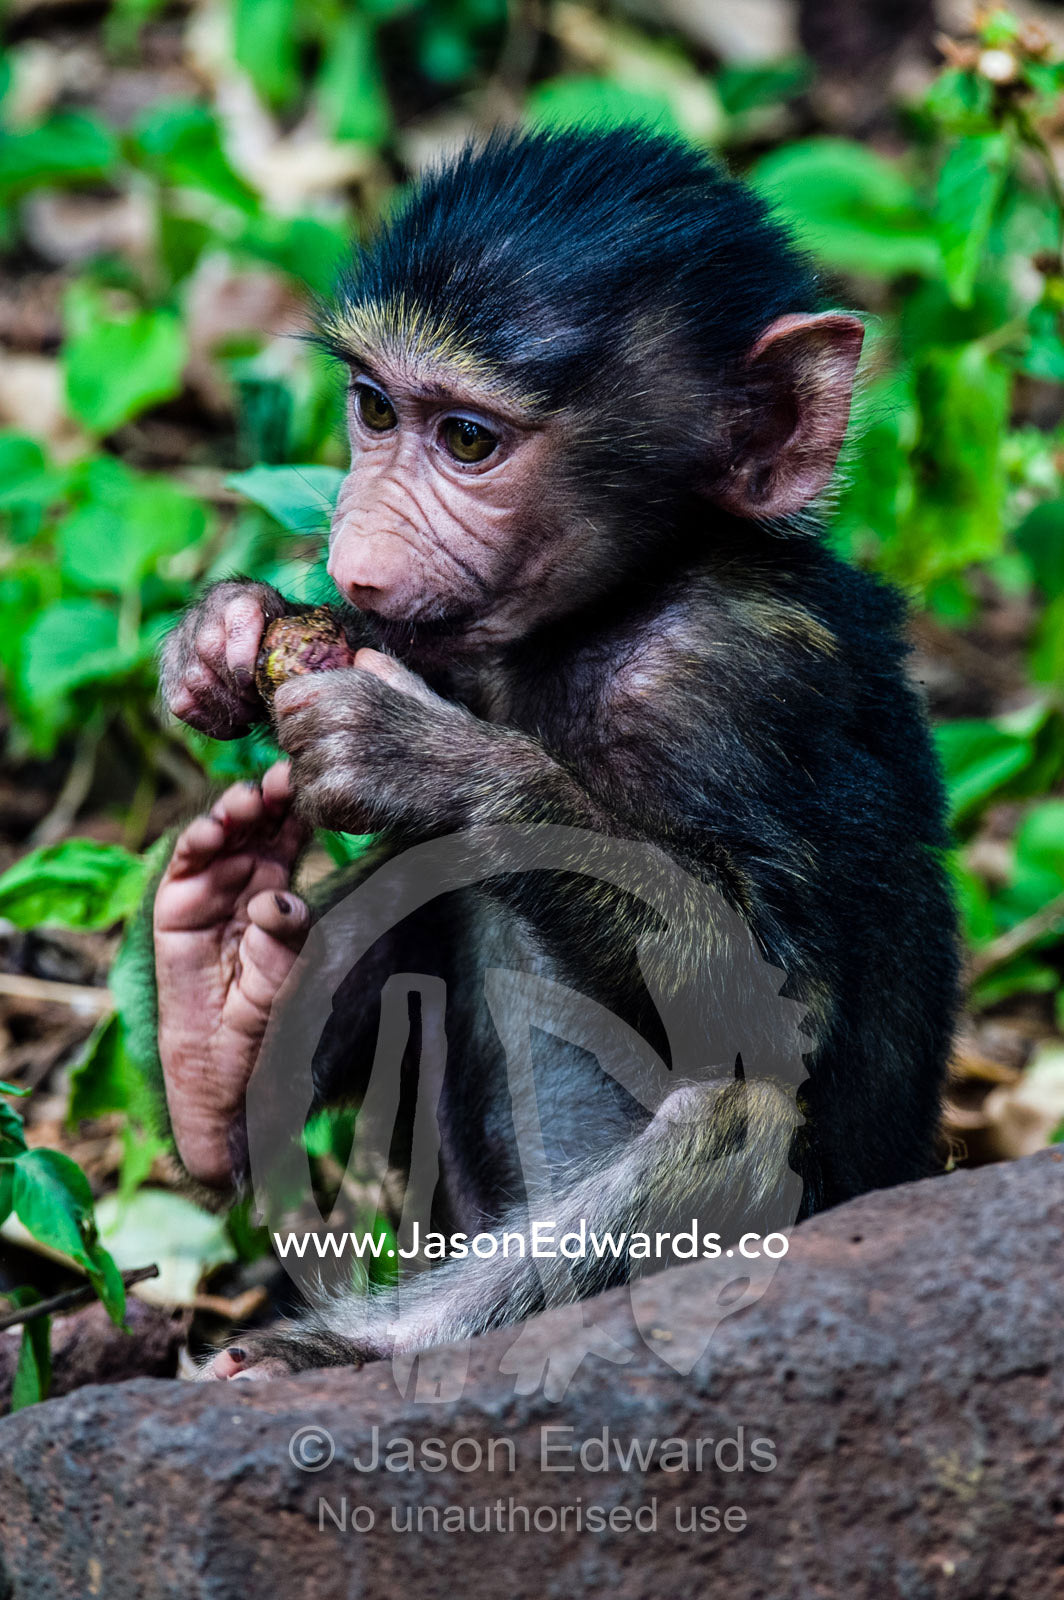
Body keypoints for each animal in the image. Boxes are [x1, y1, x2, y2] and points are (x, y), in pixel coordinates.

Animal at [137, 127, 959, 1381]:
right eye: (374, 411)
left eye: (467, 440)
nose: (356, 556)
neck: (611, 609)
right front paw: (231, 629)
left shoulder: (732, 685)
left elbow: (771, 1005)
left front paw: (423, 762)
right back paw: (213, 1036)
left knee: (740, 1113)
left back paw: (350, 1351)